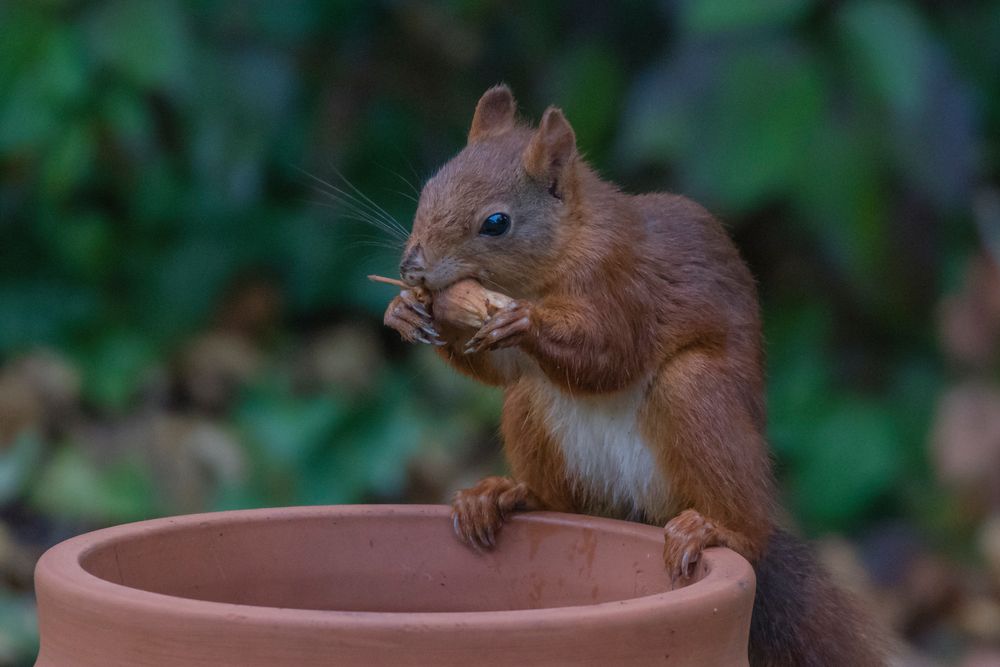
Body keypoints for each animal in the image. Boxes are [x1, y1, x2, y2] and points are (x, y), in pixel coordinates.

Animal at [380, 86, 884, 664]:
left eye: (496, 223)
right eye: (427, 190)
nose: (411, 268)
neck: (559, 254)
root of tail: (635, 511)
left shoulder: (625, 285)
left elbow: (610, 354)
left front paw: (524, 321)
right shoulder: (511, 354)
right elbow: (498, 367)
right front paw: (403, 310)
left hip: (696, 393)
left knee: (746, 527)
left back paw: (714, 529)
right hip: (531, 408)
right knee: (558, 496)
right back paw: (502, 496)